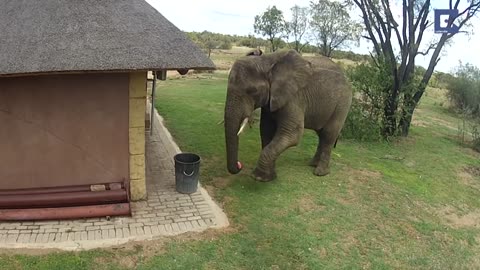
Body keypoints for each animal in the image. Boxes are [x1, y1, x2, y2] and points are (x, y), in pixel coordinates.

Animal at [224, 48, 352, 181]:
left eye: (253, 91)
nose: (240, 165)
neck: (267, 62)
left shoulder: (294, 98)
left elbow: (292, 135)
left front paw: (259, 178)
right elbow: (266, 130)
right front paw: (269, 177)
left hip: (343, 104)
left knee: (328, 134)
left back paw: (320, 173)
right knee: (321, 134)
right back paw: (312, 164)